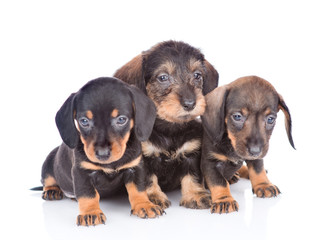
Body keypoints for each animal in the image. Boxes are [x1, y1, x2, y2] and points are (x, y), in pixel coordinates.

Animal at [38, 78, 164, 226]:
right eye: (84, 121)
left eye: (121, 119)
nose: (102, 154)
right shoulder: (81, 172)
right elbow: (87, 194)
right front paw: (90, 213)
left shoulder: (135, 167)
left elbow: (138, 189)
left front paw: (144, 205)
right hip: (48, 163)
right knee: (48, 179)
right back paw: (52, 190)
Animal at [114, 40, 219, 209]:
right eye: (163, 77)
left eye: (197, 75)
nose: (190, 104)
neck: (170, 130)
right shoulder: (143, 159)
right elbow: (148, 180)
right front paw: (152, 198)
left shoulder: (192, 153)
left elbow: (193, 176)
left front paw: (195, 195)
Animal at [202, 75, 298, 214]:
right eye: (237, 116)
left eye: (270, 119)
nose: (255, 151)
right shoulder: (210, 162)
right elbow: (219, 182)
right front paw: (224, 199)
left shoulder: (256, 158)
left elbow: (258, 169)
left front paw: (263, 184)